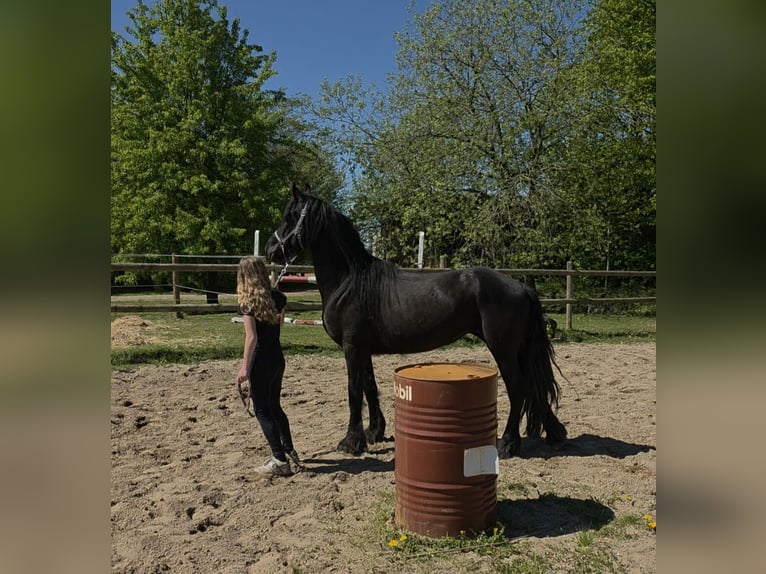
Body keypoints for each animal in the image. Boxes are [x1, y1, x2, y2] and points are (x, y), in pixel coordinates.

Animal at [265, 184, 567, 458]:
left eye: (290, 216)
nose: (269, 249)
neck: (349, 281)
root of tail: (522, 287)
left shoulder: (351, 348)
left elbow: (354, 392)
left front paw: (351, 442)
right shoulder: (363, 350)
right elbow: (370, 388)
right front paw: (374, 432)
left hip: (503, 350)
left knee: (519, 388)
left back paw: (508, 444)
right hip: (519, 350)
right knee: (534, 388)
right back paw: (554, 433)